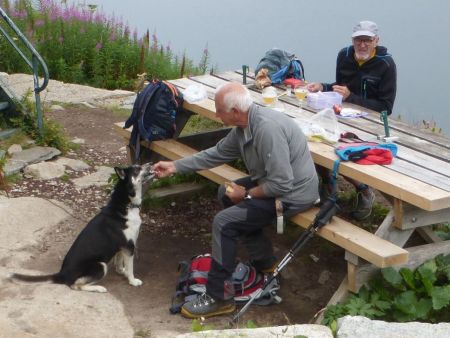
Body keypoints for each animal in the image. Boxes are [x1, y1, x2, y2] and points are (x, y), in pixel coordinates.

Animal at [10, 162, 155, 292]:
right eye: (137, 169)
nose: (151, 163)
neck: (126, 204)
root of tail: (61, 274)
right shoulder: (129, 247)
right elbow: (131, 268)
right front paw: (133, 281)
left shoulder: (121, 247)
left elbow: (120, 263)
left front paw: (122, 271)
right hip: (100, 265)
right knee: (75, 285)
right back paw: (99, 288)